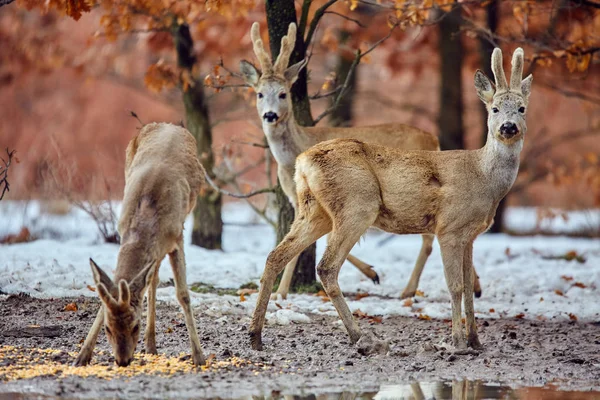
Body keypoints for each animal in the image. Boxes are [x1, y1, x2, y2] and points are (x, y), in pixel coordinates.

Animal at [74, 123, 206, 368]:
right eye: (108, 328)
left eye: (135, 325)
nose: (122, 360)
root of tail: (171, 125)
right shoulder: (122, 230)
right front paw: (82, 356)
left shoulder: (177, 236)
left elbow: (183, 294)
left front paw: (199, 356)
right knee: (152, 278)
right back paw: (151, 344)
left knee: (154, 278)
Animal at [239, 22, 482, 300]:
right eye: (259, 94)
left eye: (283, 94)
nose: (270, 115)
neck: (293, 155)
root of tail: (432, 139)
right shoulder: (296, 198)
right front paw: (282, 291)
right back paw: (472, 285)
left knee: (429, 239)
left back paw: (410, 290)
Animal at [251, 47, 532, 354]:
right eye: (494, 109)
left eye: (522, 108)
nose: (508, 127)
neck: (483, 177)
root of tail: (302, 161)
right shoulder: (449, 227)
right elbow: (455, 286)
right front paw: (457, 342)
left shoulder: (470, 235)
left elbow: (469, 288)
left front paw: (476, 341)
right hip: (357, 205)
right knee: (326, 266)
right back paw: (360, 335)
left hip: (314, 211)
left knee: (275, 255)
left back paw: (256, 335)